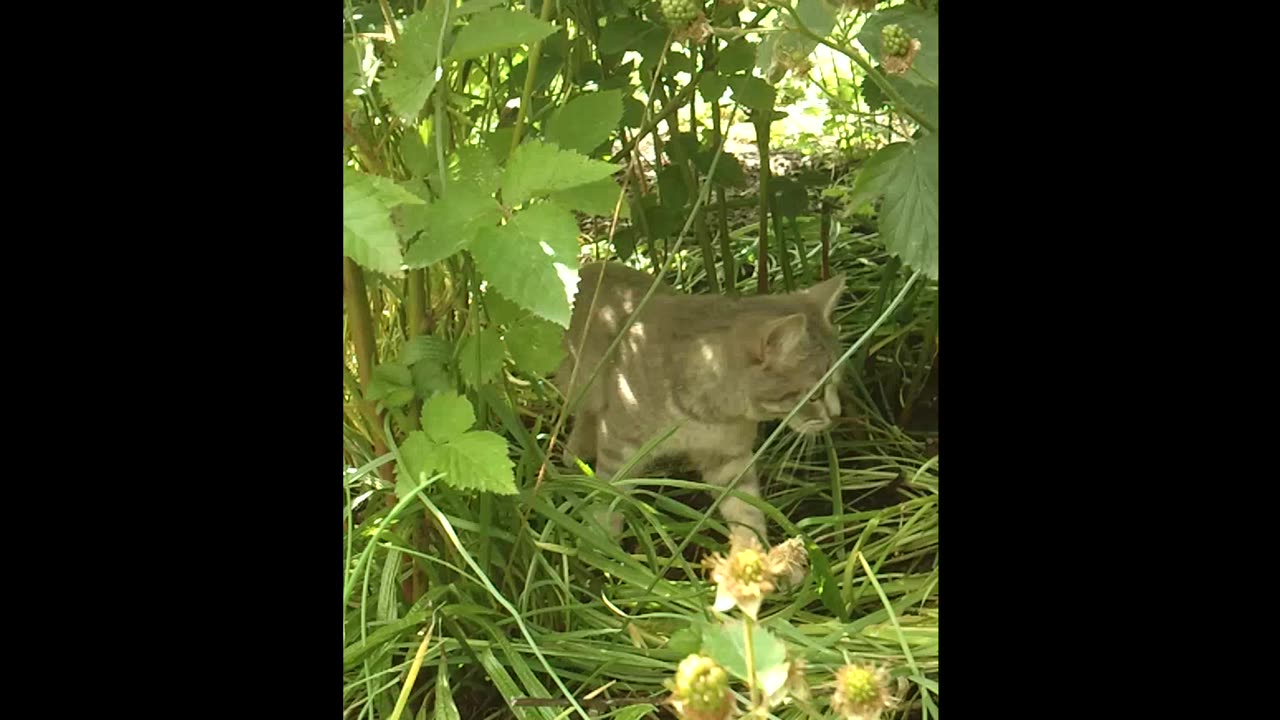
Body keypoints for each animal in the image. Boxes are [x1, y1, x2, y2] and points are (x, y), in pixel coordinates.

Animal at [555, 260, 844, 540]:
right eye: (815, 394)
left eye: (836, 381)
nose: (837, 415)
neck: (707, 418)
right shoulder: (618, 448)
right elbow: (607, 498)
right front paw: (601, 541)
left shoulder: (728, 459)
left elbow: (746, 512)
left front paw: (754, 552)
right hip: (580, 384)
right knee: (585, 412)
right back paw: (575, 452)